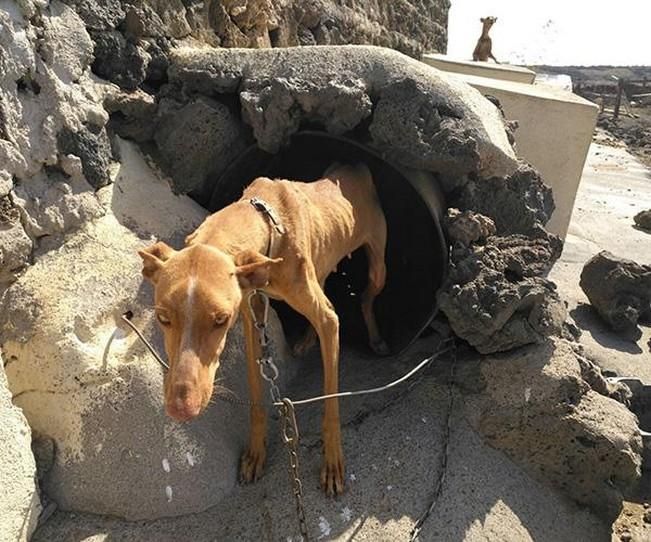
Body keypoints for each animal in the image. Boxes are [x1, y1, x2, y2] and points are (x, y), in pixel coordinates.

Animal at [138, 165, 390, 498]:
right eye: (162, 317)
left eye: (221, 319)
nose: (182, 409)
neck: (267, 223)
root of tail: (354, 165)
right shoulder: (251, 317)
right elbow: (257, 396)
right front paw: (256, 453)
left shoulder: (323, 320)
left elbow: (331, 401)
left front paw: (333, 461)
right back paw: (307, 340)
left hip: (378, 270)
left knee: (362, 298)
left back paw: (375, 338)